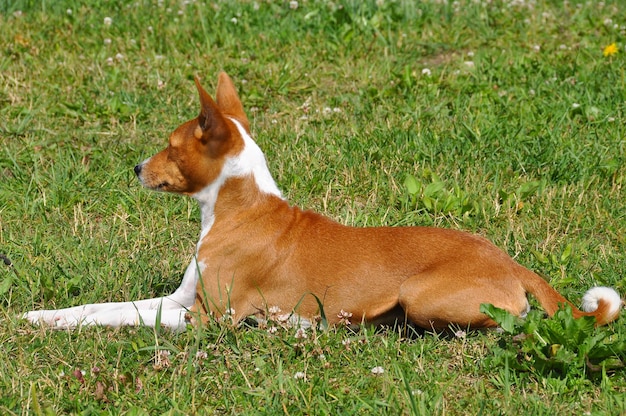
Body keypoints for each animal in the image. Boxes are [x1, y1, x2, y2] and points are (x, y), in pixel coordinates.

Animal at [23, 72, 620, 332]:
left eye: (169, 148)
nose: (136, 168)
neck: (237, 211)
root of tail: (510, 261)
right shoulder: (179, 300)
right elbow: (105, 308)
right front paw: (47, 317)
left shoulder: (208, 318)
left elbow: (125, 320)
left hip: (420, 296)